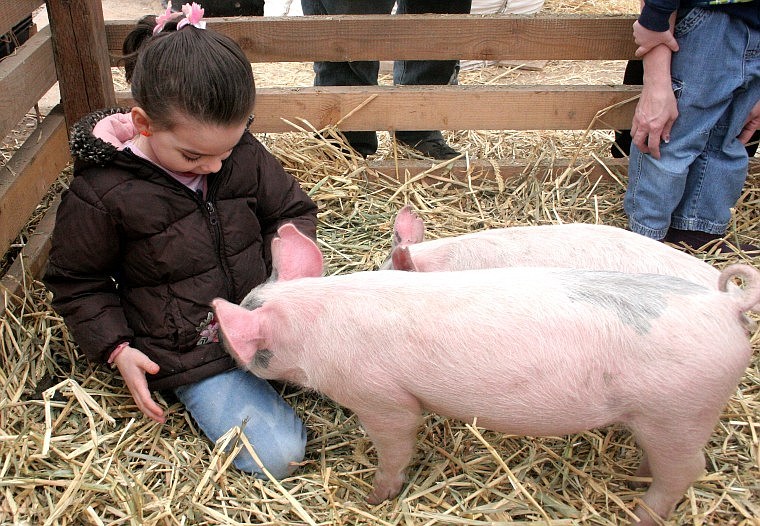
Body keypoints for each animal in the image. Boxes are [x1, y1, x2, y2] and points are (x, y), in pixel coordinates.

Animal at [214, 224, 760, 526]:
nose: (223, 352)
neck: (318, 322)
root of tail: (725, 305)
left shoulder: (381, 397)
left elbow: (397, 443)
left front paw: (373, 497)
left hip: (681, 410)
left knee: (687, 470)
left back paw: (637, 517)